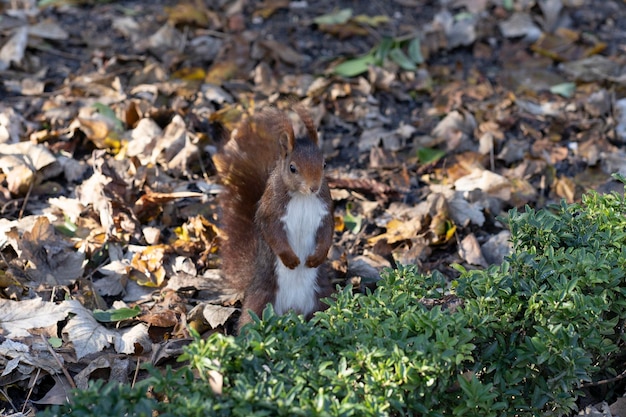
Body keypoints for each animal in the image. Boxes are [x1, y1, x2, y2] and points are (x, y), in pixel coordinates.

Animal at [213, 105, 332, 330]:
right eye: (292, 168)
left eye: (324, 164)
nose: (314, 187)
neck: (302, 197)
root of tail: (292, 311)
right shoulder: (271, 212)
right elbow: (272, 233)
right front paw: (291, 259)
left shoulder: (325, 211)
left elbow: (327, 234)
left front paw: (316, 257)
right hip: (261, 300)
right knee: (249, 321)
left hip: (323, 299)